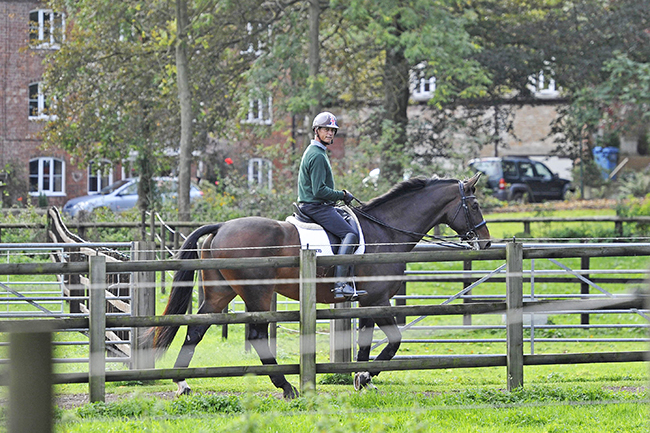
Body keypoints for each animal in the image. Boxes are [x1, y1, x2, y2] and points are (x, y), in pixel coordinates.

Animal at [144, 172, 488, 398]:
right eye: (474, 206)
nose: (485, 242)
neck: (386, 231)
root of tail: (222, 226)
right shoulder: (377, 299)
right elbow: (393, 342)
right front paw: (366, 375)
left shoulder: (367, 301)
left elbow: (365, 342)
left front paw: (361, 378)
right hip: (257, 293)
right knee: (256, 336)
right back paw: (286, 386)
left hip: (220, 293)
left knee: (196, 330)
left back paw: (183, 383)